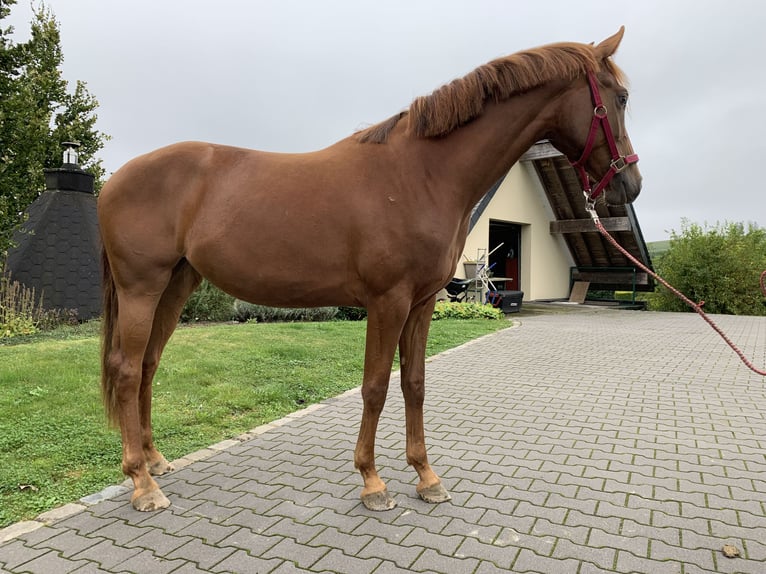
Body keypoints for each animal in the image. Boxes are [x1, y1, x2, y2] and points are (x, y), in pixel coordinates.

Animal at [99, 27, 644, 512]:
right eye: (619, 97)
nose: (631, 184)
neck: (422, 174)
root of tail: (116, 178)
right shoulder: (388, 301)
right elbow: (376, 386)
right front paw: (372, 481)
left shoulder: (422, 303)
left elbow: (414, 384)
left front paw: (426, 476)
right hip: (141, 287)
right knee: (127, 370)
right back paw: (143, 485)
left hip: (176, 285)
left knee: (148, 366)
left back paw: (155, 461)